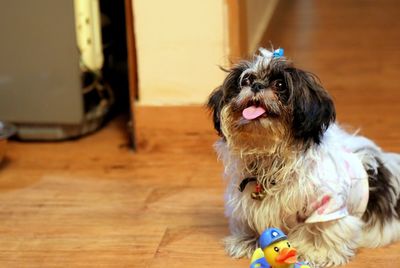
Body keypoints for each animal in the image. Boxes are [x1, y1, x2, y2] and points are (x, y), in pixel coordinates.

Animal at [208, 49, 400, 266]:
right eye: (246, 80)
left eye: (280, 85)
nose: (256, 85)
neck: (271, 160)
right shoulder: (247, 202)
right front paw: (247, 241)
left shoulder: (327, 204)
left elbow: (324, 230)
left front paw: (318, 253)